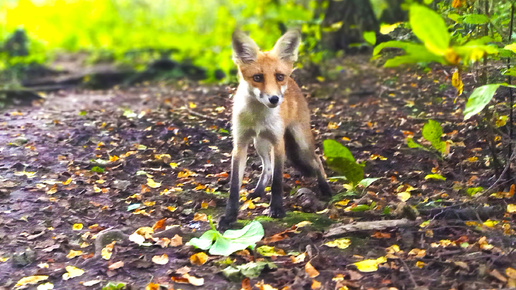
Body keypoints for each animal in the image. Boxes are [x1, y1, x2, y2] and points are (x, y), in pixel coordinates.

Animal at [219, 29, 332, 229]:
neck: (258, 117)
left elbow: (278, 181)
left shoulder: (278, 142)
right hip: (260, 143)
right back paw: (257, 192)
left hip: (301, 142)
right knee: (267, 167)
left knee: (317, 160)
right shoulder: (240, 144)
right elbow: (234, 186)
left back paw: (325, 188)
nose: (274, 99)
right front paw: (229, 216)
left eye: (279, 77)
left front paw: (277, 209)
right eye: (257, 78)